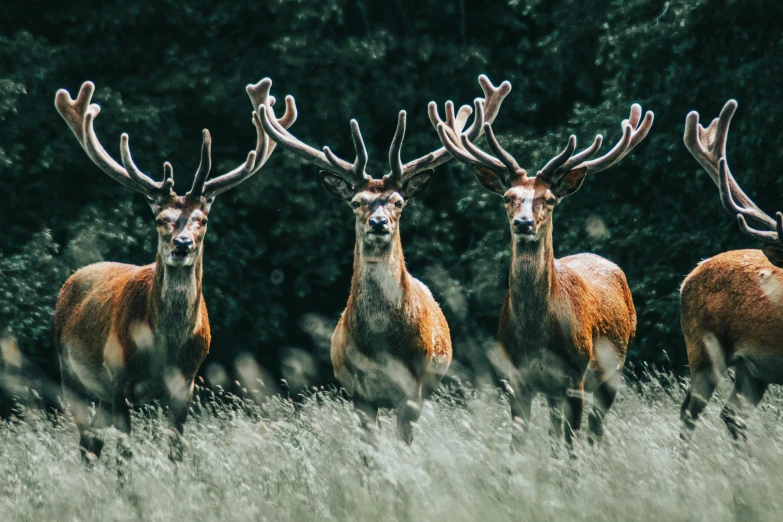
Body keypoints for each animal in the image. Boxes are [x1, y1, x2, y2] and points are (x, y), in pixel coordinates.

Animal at [51, 77, 298, 460]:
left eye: (203, 220)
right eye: (160, 219)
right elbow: (124, 452)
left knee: (93, 438)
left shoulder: (186, 384)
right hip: (71, 373)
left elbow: (175, 448)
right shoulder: (117, 378)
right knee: (87, 439)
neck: (162, 350)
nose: (182, 244)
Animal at [258, 75, 512, 440]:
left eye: (398, 201)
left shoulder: (413, 388)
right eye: (356, 202)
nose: (378, 223)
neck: (381, 346)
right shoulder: (359, 393)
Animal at [434, 102, 656, 446]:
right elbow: (519, 443)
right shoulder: (516, 380)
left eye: (549, 199)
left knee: (595, 430)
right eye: (507, 197)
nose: (523, 223)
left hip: (613, 368)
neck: (536, 337)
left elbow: (571, 443)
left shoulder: (575, 376)